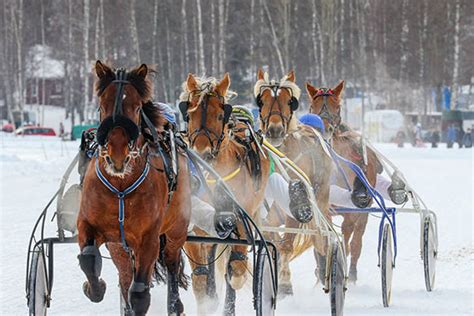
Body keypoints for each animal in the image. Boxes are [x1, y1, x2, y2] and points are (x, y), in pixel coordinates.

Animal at [76, 60, 191, 314]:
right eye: (102, 106)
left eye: (137, 108)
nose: (118, 155)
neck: (120, 186)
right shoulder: (90, 224)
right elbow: (88, 258)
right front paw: (94, 288)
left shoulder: (148, 239)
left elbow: (139, 294)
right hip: (120, 247)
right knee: (125, 274)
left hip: (175, 230)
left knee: (171, 263)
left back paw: (175, 304)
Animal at [181, 73, 272, 314]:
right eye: (188, 114)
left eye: (220, 114)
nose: (201, 153)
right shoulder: (193, 227)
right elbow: (201, 280)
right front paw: (207, 300)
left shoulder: (241, 218)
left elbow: (236, 271)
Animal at [254, 68, 332, 294]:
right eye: (261, 100)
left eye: (290, 101)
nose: (275, 130)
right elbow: (272, 240)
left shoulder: (298, 205)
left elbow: (287, 243)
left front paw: (285, 283)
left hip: (321, 196)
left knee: (322, 234)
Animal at [308, 80, 382, 282]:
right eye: (313, 106)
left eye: (337, 106)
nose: (323, 129)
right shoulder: (322, 209)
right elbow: (323, 238)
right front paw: (321, 268)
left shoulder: (353, 210)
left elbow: (347, 235)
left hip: (363, 211)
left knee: (356, 241)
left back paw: (352, 271)